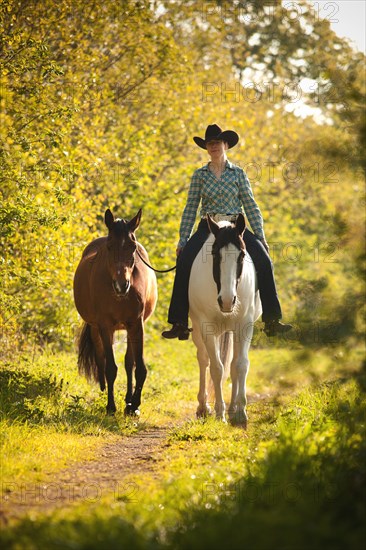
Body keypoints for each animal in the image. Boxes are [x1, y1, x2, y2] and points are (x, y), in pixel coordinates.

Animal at [73, 209, 157, 416]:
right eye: (109, 246)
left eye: (132, 247)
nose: (121, 285)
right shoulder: (105, 326)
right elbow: (110, 367)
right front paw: (111, 406)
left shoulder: (136, 324)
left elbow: (139, 368)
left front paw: (134, 405)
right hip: (97, 328)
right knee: (102, 358)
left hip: (128, 328)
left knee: (128, 362)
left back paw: (128, 400)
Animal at [187, 215, 262, 426]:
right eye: (214, 254)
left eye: (242, 255)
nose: (227, 301)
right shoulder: (207, 328)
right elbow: (216, 368)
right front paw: (219, 413)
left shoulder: (245, 326)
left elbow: (240, 365)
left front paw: (240, 412)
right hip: (198, 330)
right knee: (203, 360)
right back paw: (204, 407)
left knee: (234, 363)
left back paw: (233, 409)